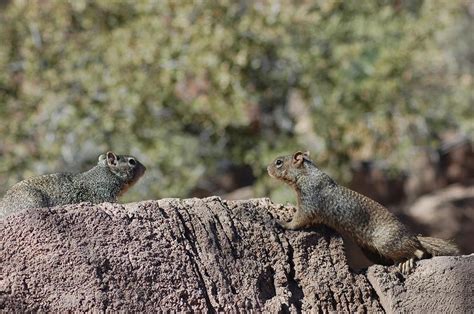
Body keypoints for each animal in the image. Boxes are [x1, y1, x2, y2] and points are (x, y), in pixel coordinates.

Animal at [270, 150, 460, 272]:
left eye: (278, 162)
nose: (267, 168)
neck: (307, 175)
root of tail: (411, 235)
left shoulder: (309, 201)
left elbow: (300, 219)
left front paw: (283, 222)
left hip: (386, 242)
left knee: (418, 251)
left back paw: (408, 262)